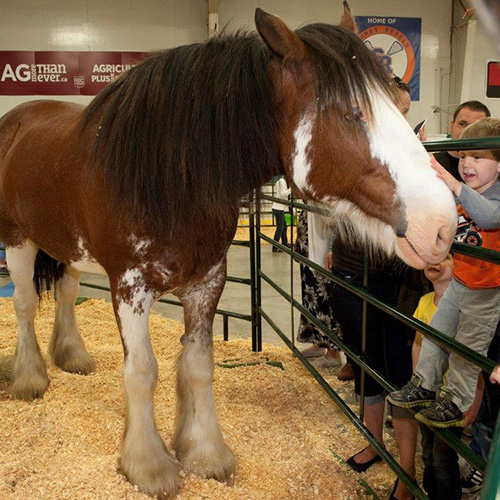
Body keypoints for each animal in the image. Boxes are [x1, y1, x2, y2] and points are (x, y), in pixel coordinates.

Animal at [0, 4, 458, 500]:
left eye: (399, 103)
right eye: (350, 112)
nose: (442, 224)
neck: (169, 174)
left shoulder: (206, 283)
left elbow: (198, 366)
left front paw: (205, 454)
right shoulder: (129, 289)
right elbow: (142, 372)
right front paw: (148, 466)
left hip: (67, 249)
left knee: (65, 295)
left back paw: (72, 357)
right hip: (18, 241)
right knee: (25, 304)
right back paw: (30, 378)